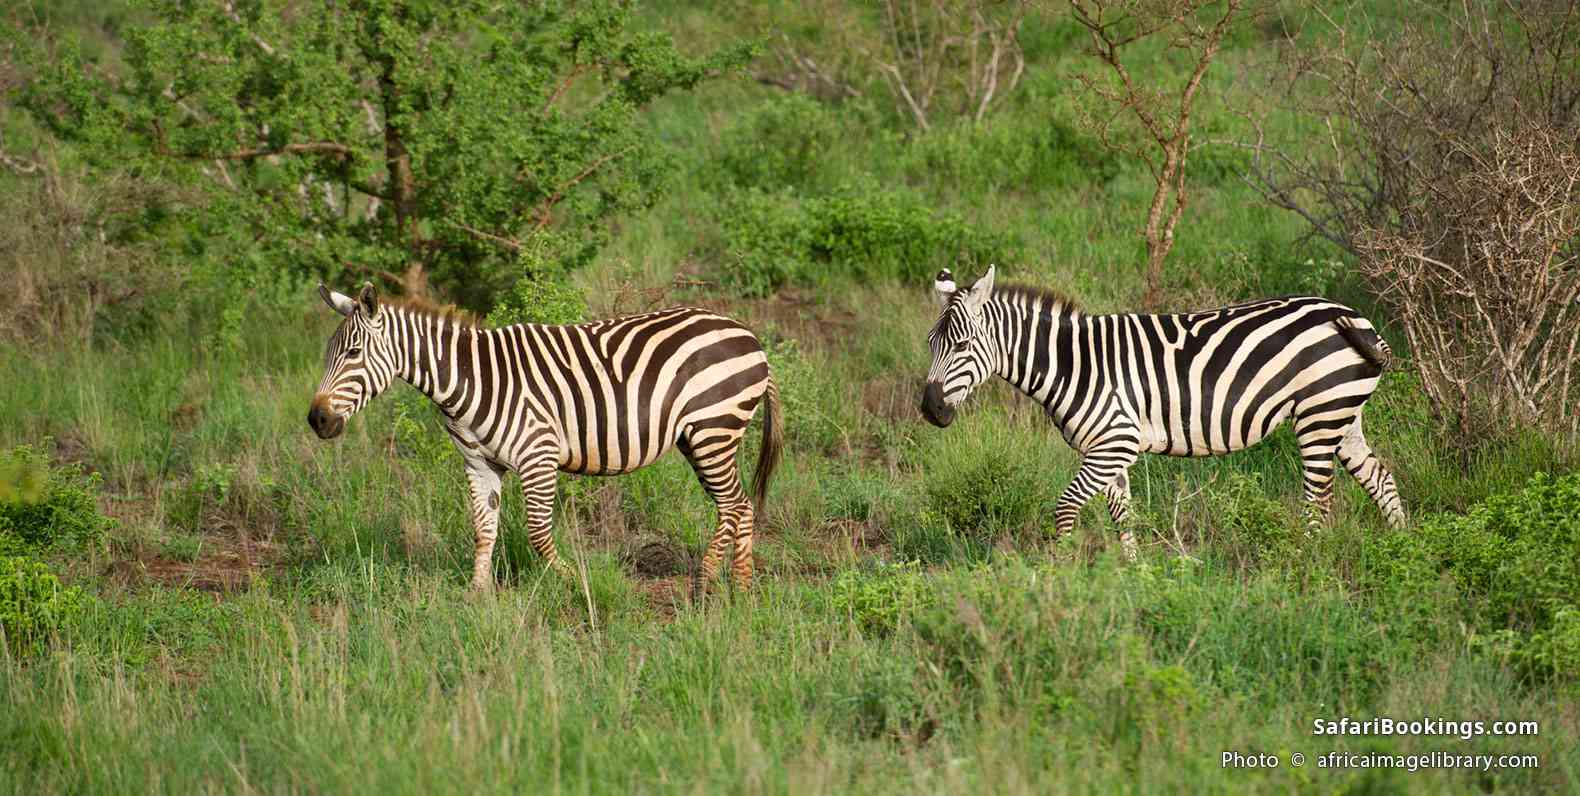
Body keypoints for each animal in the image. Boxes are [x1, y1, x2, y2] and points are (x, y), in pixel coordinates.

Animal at [308, 282, 783, 593]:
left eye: (353, 353)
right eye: (328, 354)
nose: (317, 420)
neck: (469, 380)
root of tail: (748, 334)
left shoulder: (539, 456)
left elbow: (537, 534)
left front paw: (579, 584)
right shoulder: (479, 463)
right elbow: (483, 529)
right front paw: (478, 597)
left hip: (713, 428)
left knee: (732, 504)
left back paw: (705, 584)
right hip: (702, 436)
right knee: (740, 504)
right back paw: (741, 588)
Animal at [920, 266, 1405, 559]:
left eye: (962, 344)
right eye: (931, 344)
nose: (930, 411)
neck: (1073, 363)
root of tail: (1355, 317)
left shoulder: (1114, 444)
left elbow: (1066, 507)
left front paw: (1061, 572)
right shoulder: (1108, 450)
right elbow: (1124, 517)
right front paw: (1134, 578)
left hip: (1319, 416)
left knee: (1318, 501)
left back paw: (1308, 563)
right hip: (1342, 414)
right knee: (1381, 478)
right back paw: (1403, 549)